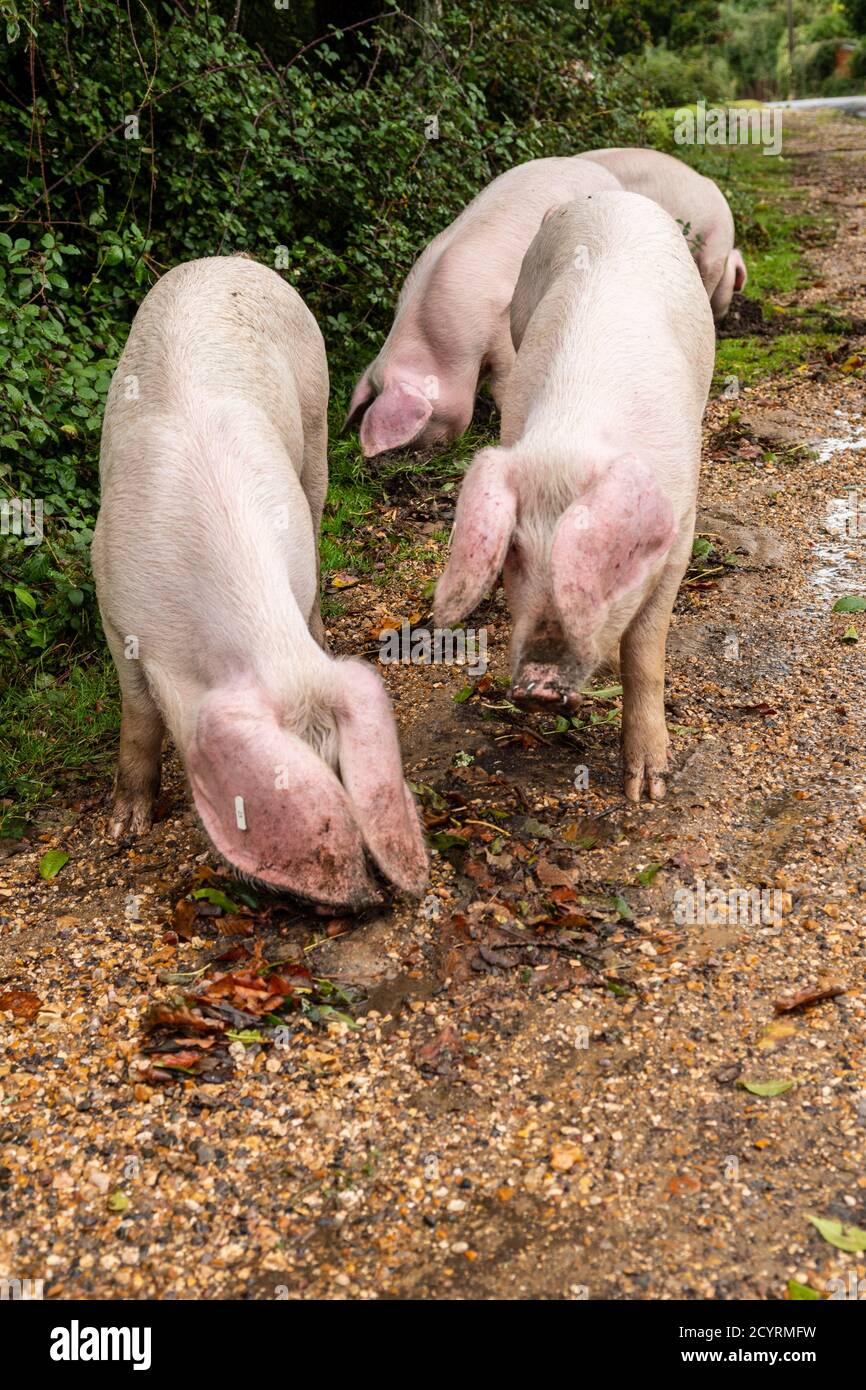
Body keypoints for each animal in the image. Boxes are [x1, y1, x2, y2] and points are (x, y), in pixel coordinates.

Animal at [93, 258, 428, 911]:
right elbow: (139, 712)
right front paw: (124, 829)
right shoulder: (112, 598)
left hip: (317, 422)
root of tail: (230, 260)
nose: (369, 898)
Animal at [436, 195, 717, 806]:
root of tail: (605, 196)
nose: (538, 686)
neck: (573, 433)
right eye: (513, 553)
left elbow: (645, 650)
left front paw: (647, 792)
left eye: (605, 555)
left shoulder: (682, 527)